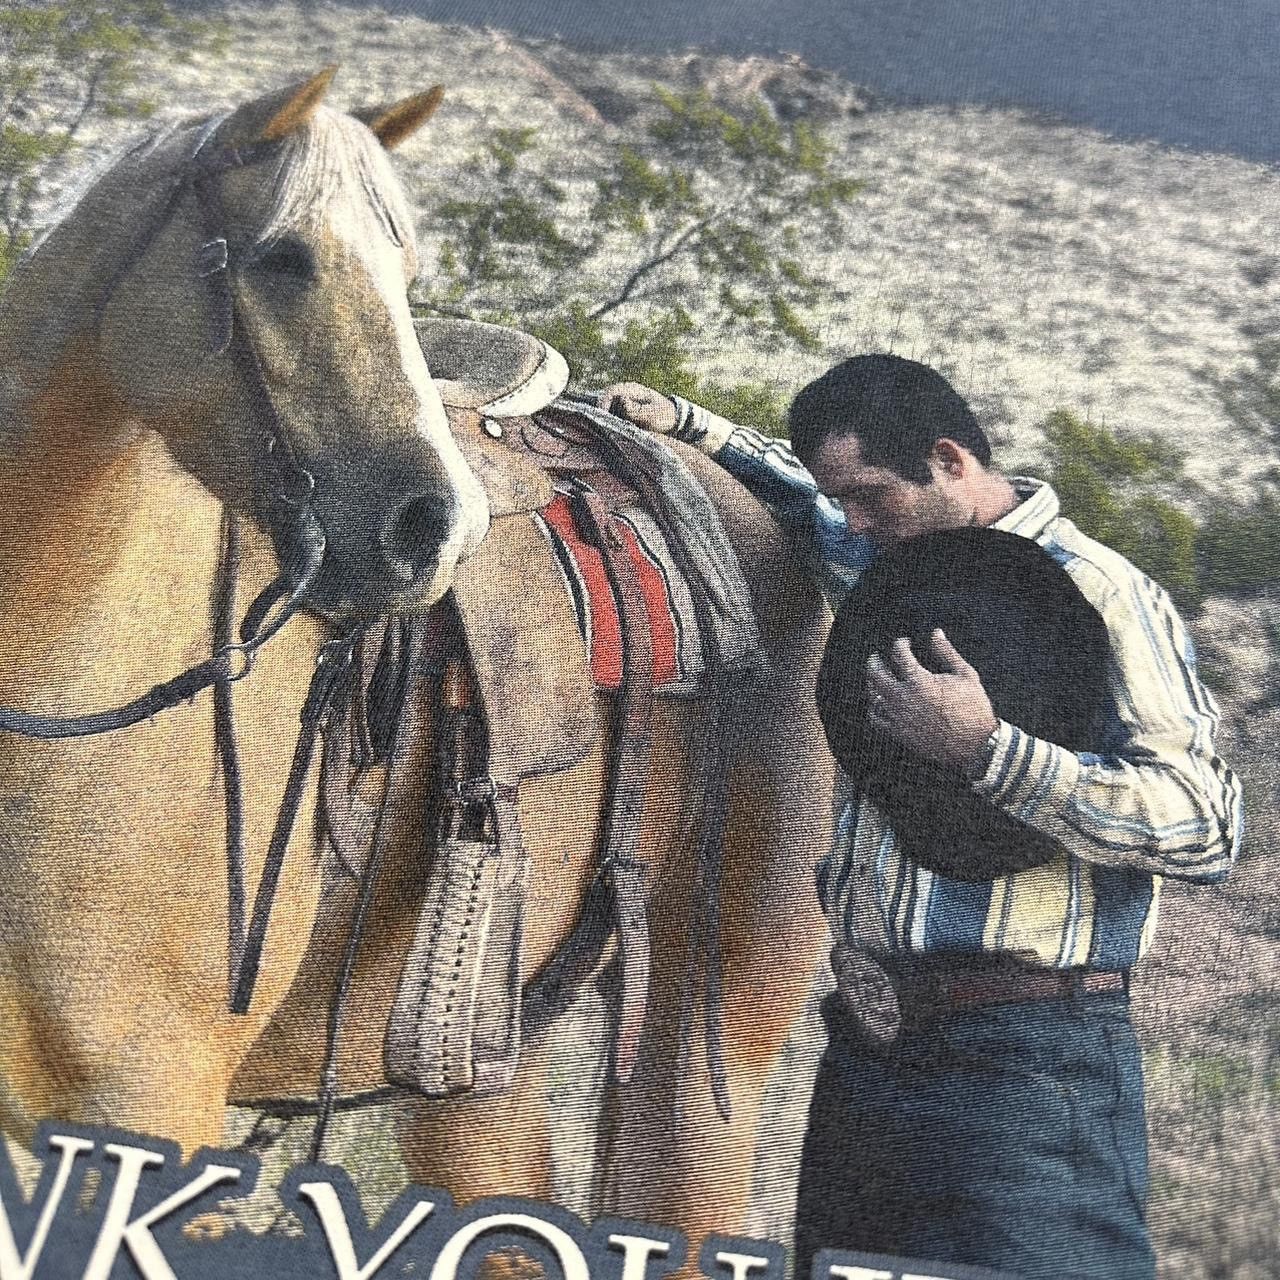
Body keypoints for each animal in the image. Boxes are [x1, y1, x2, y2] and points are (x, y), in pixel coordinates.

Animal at [0, 69, 836, 1253]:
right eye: (282, 259)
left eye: (405, 274)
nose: (439, 529)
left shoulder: (158, 1108)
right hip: (482, 1045)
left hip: (702, 1041)